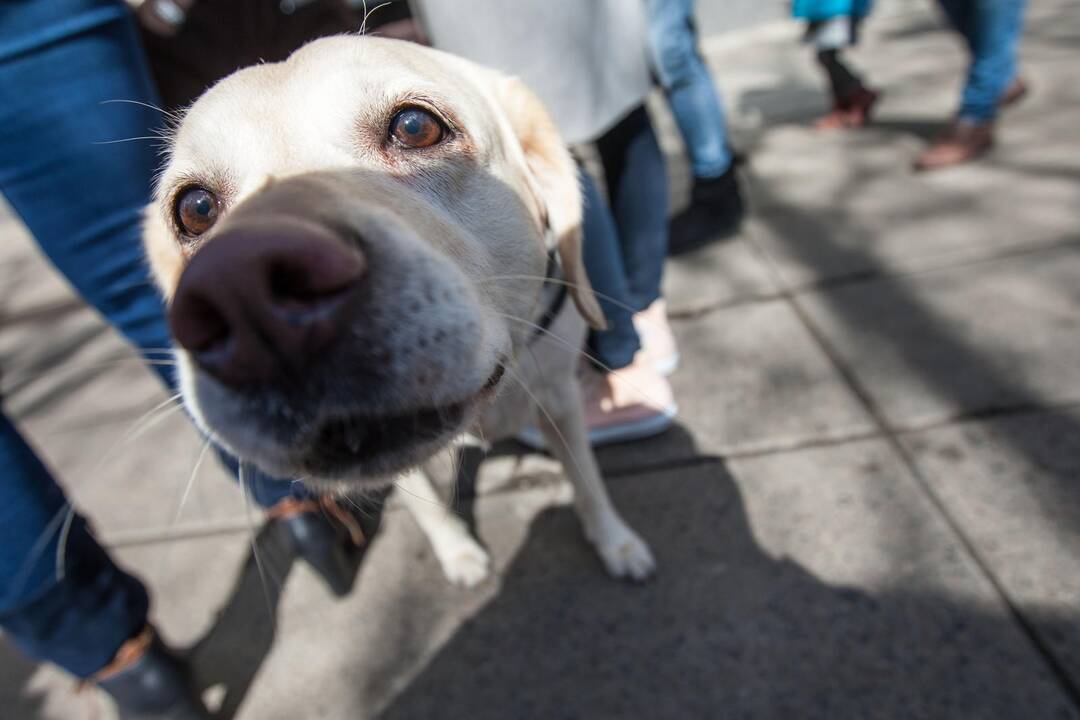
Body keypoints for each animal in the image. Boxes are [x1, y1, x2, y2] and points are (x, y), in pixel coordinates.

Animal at [140, 35, 652, 587]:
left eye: (414, 127)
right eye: (195, 209)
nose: (242, 289)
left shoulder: (561, 397)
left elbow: (587, 478)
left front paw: (616, 542)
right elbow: (428, 506)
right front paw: (458, 553)